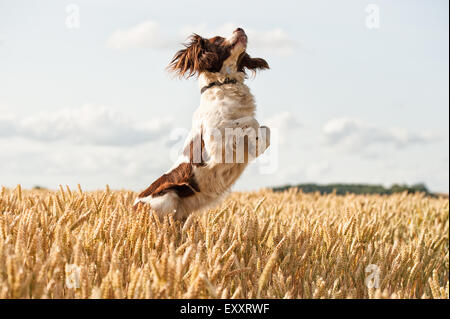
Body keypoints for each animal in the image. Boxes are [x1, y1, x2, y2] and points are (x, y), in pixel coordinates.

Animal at [134, 28, 270, 220]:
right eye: (218, 39)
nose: (240, 28)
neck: (223, 84)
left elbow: (266, 130)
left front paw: (255, 143)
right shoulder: (215, 143)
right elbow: (249, 121)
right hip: (168, 196)